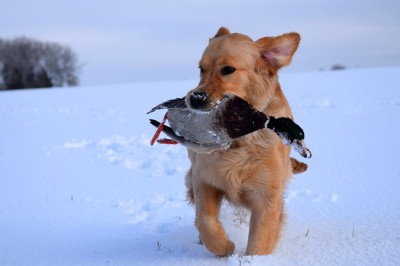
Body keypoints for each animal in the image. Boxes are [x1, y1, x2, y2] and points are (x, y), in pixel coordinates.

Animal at [184, 27, 306, 256]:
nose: (195, 98)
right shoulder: (204, 180)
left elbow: (259, 242)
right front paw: (224, 247)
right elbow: (205, 220)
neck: (238, 140)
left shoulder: (267, 196)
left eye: (228, 70)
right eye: (201, 69)